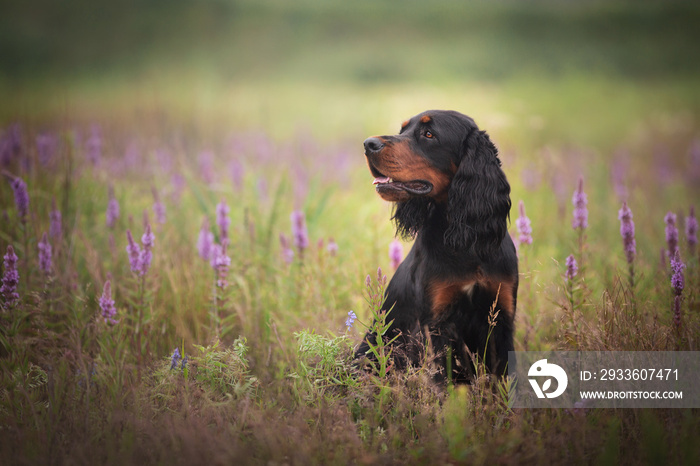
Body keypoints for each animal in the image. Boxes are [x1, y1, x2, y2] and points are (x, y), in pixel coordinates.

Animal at [356, 111, 516, 384]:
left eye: (428, 134)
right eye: (402, 130)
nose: (369, 144)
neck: (465, 241)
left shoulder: (501, 315)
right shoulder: (437, 324)